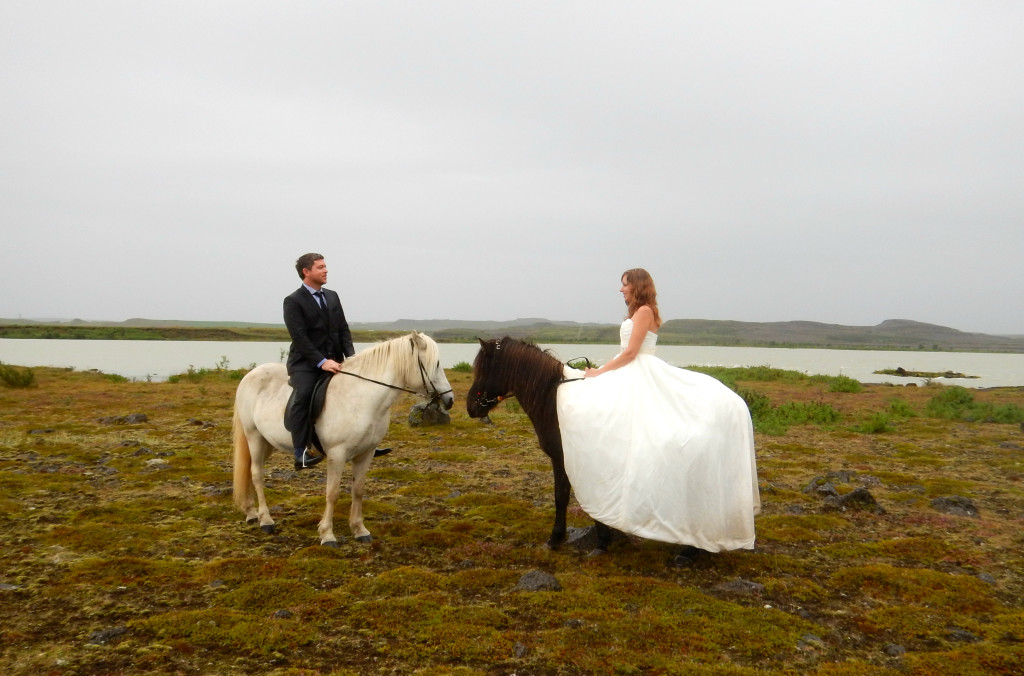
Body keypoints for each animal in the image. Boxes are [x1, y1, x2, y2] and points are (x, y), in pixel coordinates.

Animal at [235, 329, 456, 544]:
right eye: (436, 364)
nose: (450, 399)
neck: (361, 398)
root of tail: (250, 375)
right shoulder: (337, 454)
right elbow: (332, 493)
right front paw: (327, 534)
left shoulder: (366, 454)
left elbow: (358, 490)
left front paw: (360, 530)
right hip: (254, 437)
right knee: (256, 473)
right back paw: (266, 520)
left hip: (267, 442)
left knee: (248, 471)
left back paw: (251, 513)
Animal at [466, 335, 614, 553]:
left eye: (483, 369)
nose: (470, 407)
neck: (553, 400)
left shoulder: (562, 459)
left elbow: (561, 497)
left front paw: (558, 538)